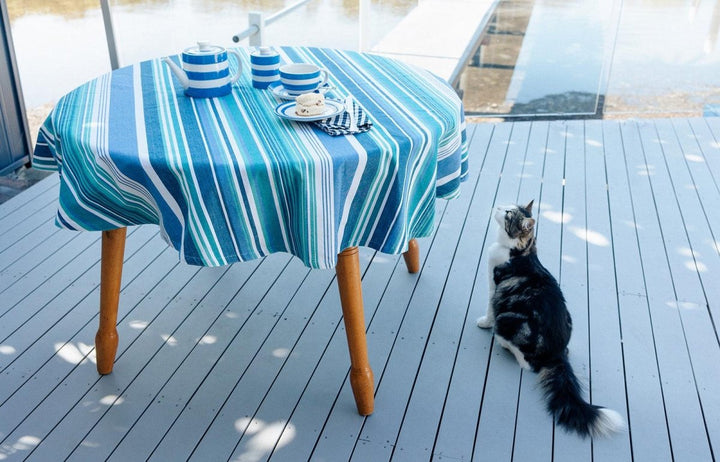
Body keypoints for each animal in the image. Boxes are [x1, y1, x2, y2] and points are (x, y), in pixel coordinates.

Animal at [476, 201, 620, 436]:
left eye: (508, 213)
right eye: (508, 205)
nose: (498, 205)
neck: (520, 251)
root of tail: (557, 353)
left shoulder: (494, 285)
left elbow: (489, 307)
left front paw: (484, 322)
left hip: (507, 320)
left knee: (526, 363)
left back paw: (503, 342)